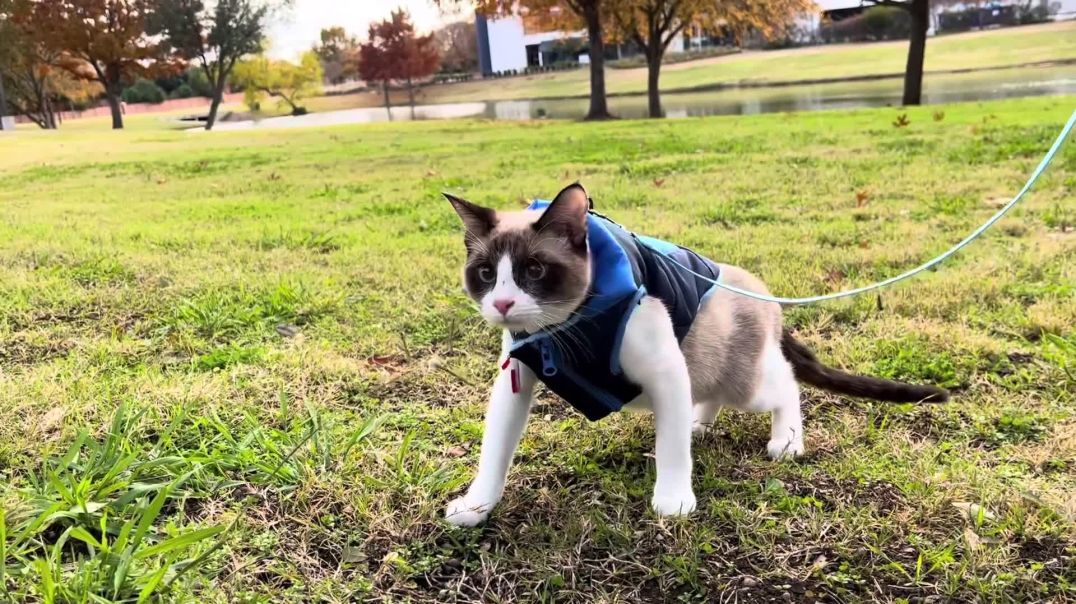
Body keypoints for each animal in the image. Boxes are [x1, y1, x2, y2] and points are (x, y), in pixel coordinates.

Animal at [441, 180, 946, 525]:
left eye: (534, 270)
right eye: (486, 274)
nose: (503, 304)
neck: (565, 331)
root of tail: (765, 294)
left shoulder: (663, 369)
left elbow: (671, 451)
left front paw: (672, 503)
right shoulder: (517, 375)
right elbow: (495, 450)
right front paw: (477, 505)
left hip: (745, 382)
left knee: (784, 384)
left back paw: (786, 440)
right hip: (704, 364)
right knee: (703, 393)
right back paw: (698, 422)